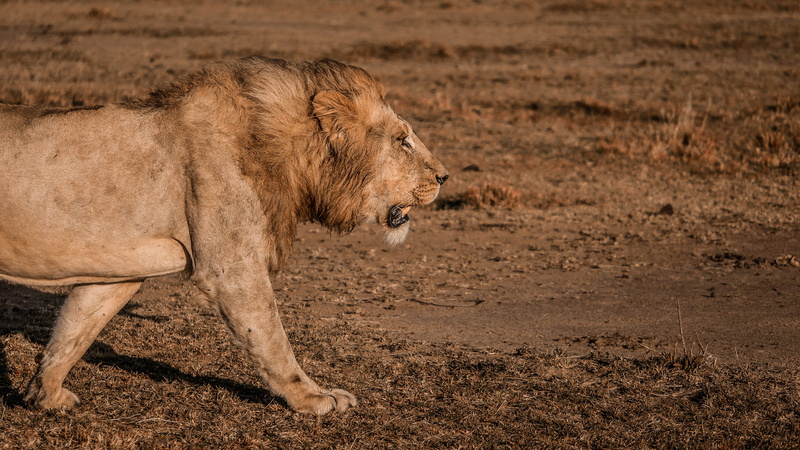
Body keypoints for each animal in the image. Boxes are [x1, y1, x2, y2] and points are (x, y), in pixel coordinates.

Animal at [0, 57, 448, 416]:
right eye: (402, 141)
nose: (444, 176)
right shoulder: (230, 268)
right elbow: (270, 337)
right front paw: (313, 399)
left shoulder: (118, 268)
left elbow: (74, 330)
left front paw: (45, 396)